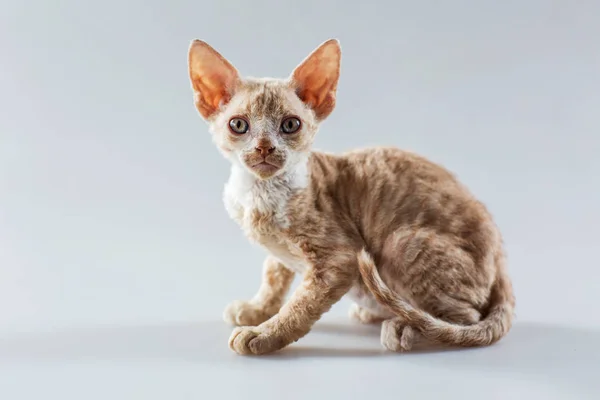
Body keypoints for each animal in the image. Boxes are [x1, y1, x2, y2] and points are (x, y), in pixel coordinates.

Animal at [189, 39, 516, 354]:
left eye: (290, 125)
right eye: (238, 125)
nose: (264, 147)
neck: (258, 194)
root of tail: (501, 261)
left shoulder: (339, 259)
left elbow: (300, 306)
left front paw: (264, 333)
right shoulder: (281, 256)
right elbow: (273, 275)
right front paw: (256, 309)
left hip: (402, 242)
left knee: (466, 319)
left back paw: (406, 327)